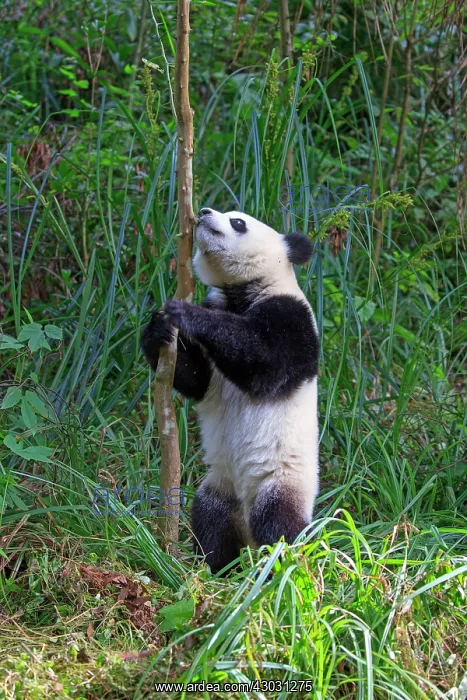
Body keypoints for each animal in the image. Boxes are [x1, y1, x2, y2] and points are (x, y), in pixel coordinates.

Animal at [141, 208, 319, 574]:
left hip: (282, 479)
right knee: (211, 518)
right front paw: (158, 328)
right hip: (221, 487)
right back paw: (217, 567)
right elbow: (197, 380)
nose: (204, 212)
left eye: (238, 222)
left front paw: (186, 313)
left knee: (279, 525)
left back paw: (279, 567)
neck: (241, 293)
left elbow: (267, 365)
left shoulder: (294, 317)